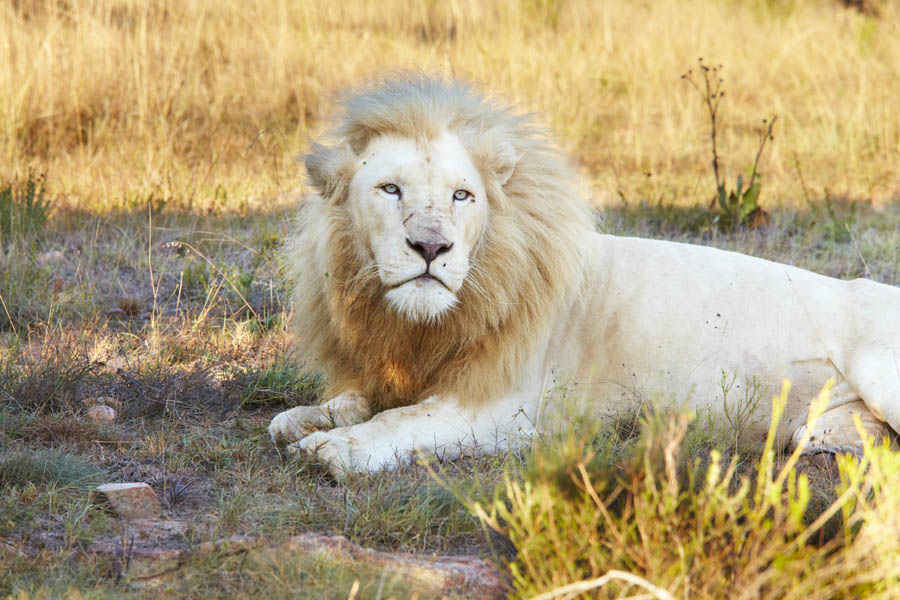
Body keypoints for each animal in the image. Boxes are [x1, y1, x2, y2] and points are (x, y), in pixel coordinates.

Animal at [270, 77, 900, 476]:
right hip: (823, 431)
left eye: (461, 195)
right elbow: (315, 412)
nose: (431, 246)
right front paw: (309, 422)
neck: (419, 327)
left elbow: (401, 421)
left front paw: (333, 449)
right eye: (390, 189)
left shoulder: (506, 408)